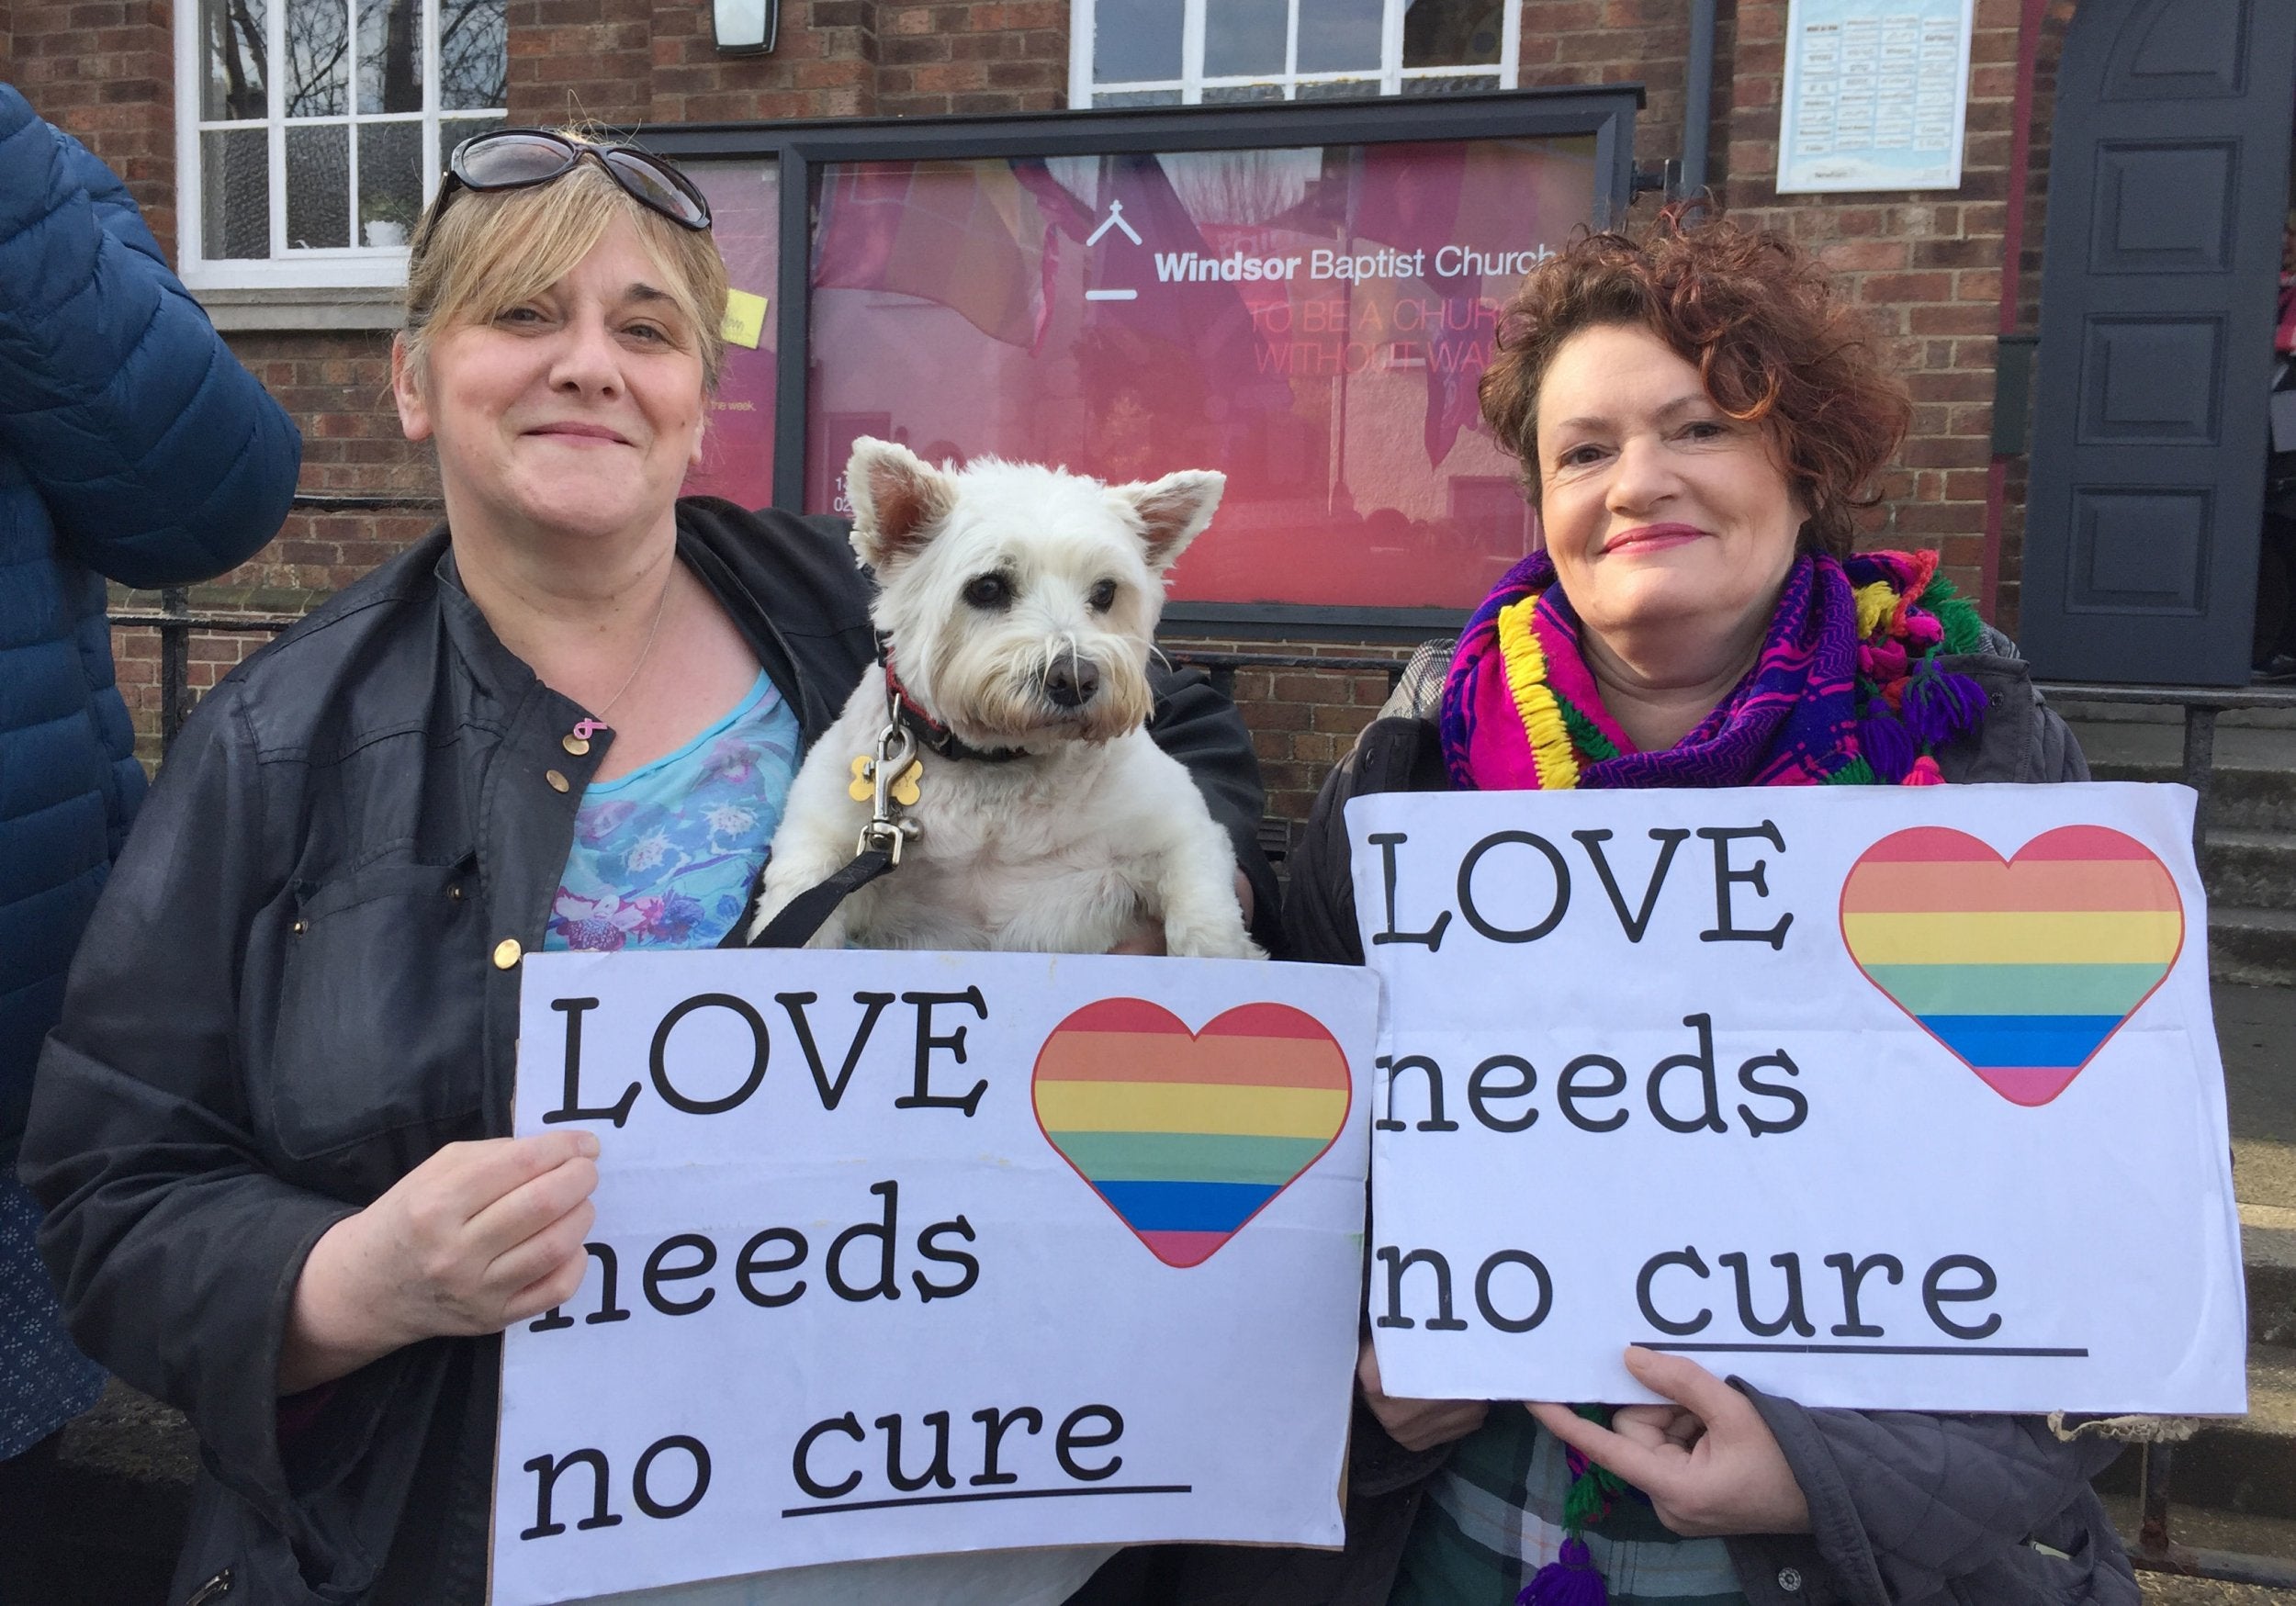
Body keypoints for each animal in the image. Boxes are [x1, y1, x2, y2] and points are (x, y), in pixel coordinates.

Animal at [748, 438, 1258, 959]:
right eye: (988, 587)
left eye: (1105, 591)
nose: (1075, 679)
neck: (998, 770)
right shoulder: (823, 847)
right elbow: (799, 911)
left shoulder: (1181, 831)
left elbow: (1207, 922)